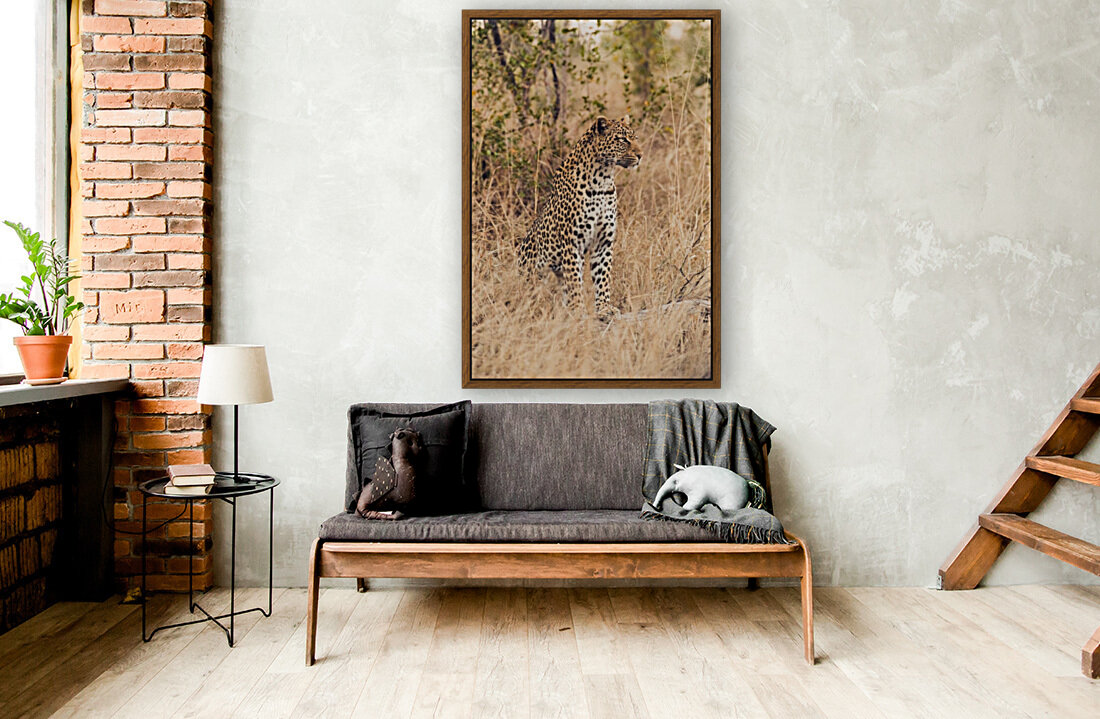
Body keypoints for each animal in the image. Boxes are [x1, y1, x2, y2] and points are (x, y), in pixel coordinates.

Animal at [515, 116, 641, 320]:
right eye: (623, 140)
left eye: (635, 138)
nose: (640, 155)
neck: (603, 179)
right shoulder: (572, 243)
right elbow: (574, 280)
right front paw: (578, 309)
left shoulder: (603, 241)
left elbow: (603, 276)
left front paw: (604, 308)